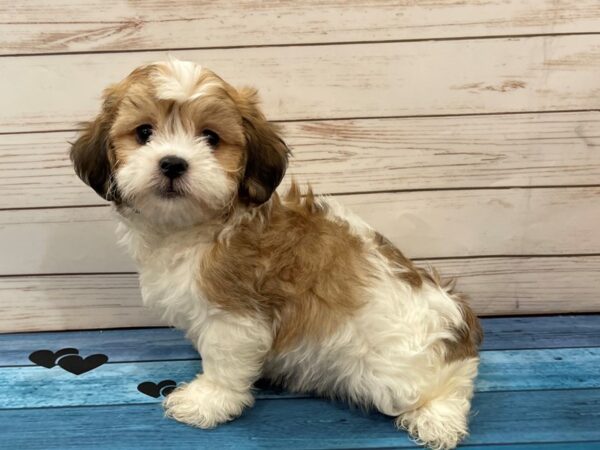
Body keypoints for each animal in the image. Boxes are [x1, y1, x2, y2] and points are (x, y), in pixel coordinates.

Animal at [70, 59, 482, 450]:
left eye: (210, 137)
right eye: (144, 133)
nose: (172, 162)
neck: (198, 225)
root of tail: (455, 315)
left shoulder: (235, 316)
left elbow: (223, 363)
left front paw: (207, 401)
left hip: (391, 374)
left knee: (453, 381)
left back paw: (438, 419)